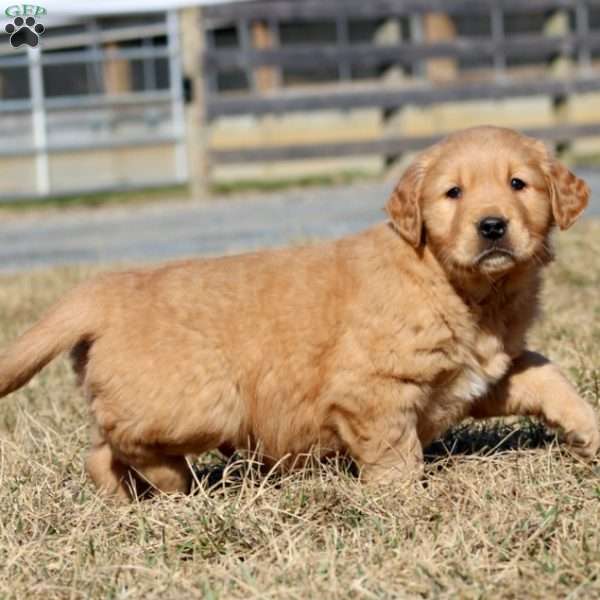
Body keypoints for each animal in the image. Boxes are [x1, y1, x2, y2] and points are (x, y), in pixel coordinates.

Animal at [0, 124, 596, 500]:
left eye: (518, 184)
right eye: (453, 193)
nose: (492, 226)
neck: (462, 287)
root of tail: (101, 290)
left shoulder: (481, 374)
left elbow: (547, 376)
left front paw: (589, 433)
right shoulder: (374, 390)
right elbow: (396, 456)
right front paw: (404, 506)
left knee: (99, 454)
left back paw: (132, 501)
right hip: (201, 404)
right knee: (123, 440)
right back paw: (176, 484)